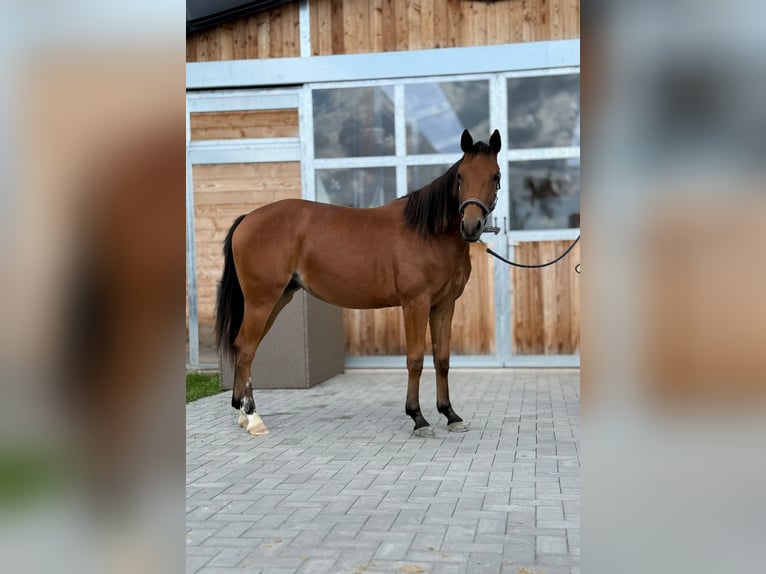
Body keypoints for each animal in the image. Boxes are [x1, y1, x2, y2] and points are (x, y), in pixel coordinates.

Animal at [215, 129, 502, 436]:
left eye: (495, 176)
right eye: (460, 176)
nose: (471, 226)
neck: (428, 233)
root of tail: (248, 219)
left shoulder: (444, 306)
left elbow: (443, 359)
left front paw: (450, 414)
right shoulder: (416, 304)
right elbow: (415, 359)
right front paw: (418, 418)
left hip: (277, 300)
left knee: (245, 347)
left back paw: (243, 414)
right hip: (262, 301)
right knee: (245, 348)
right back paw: (253, 418)